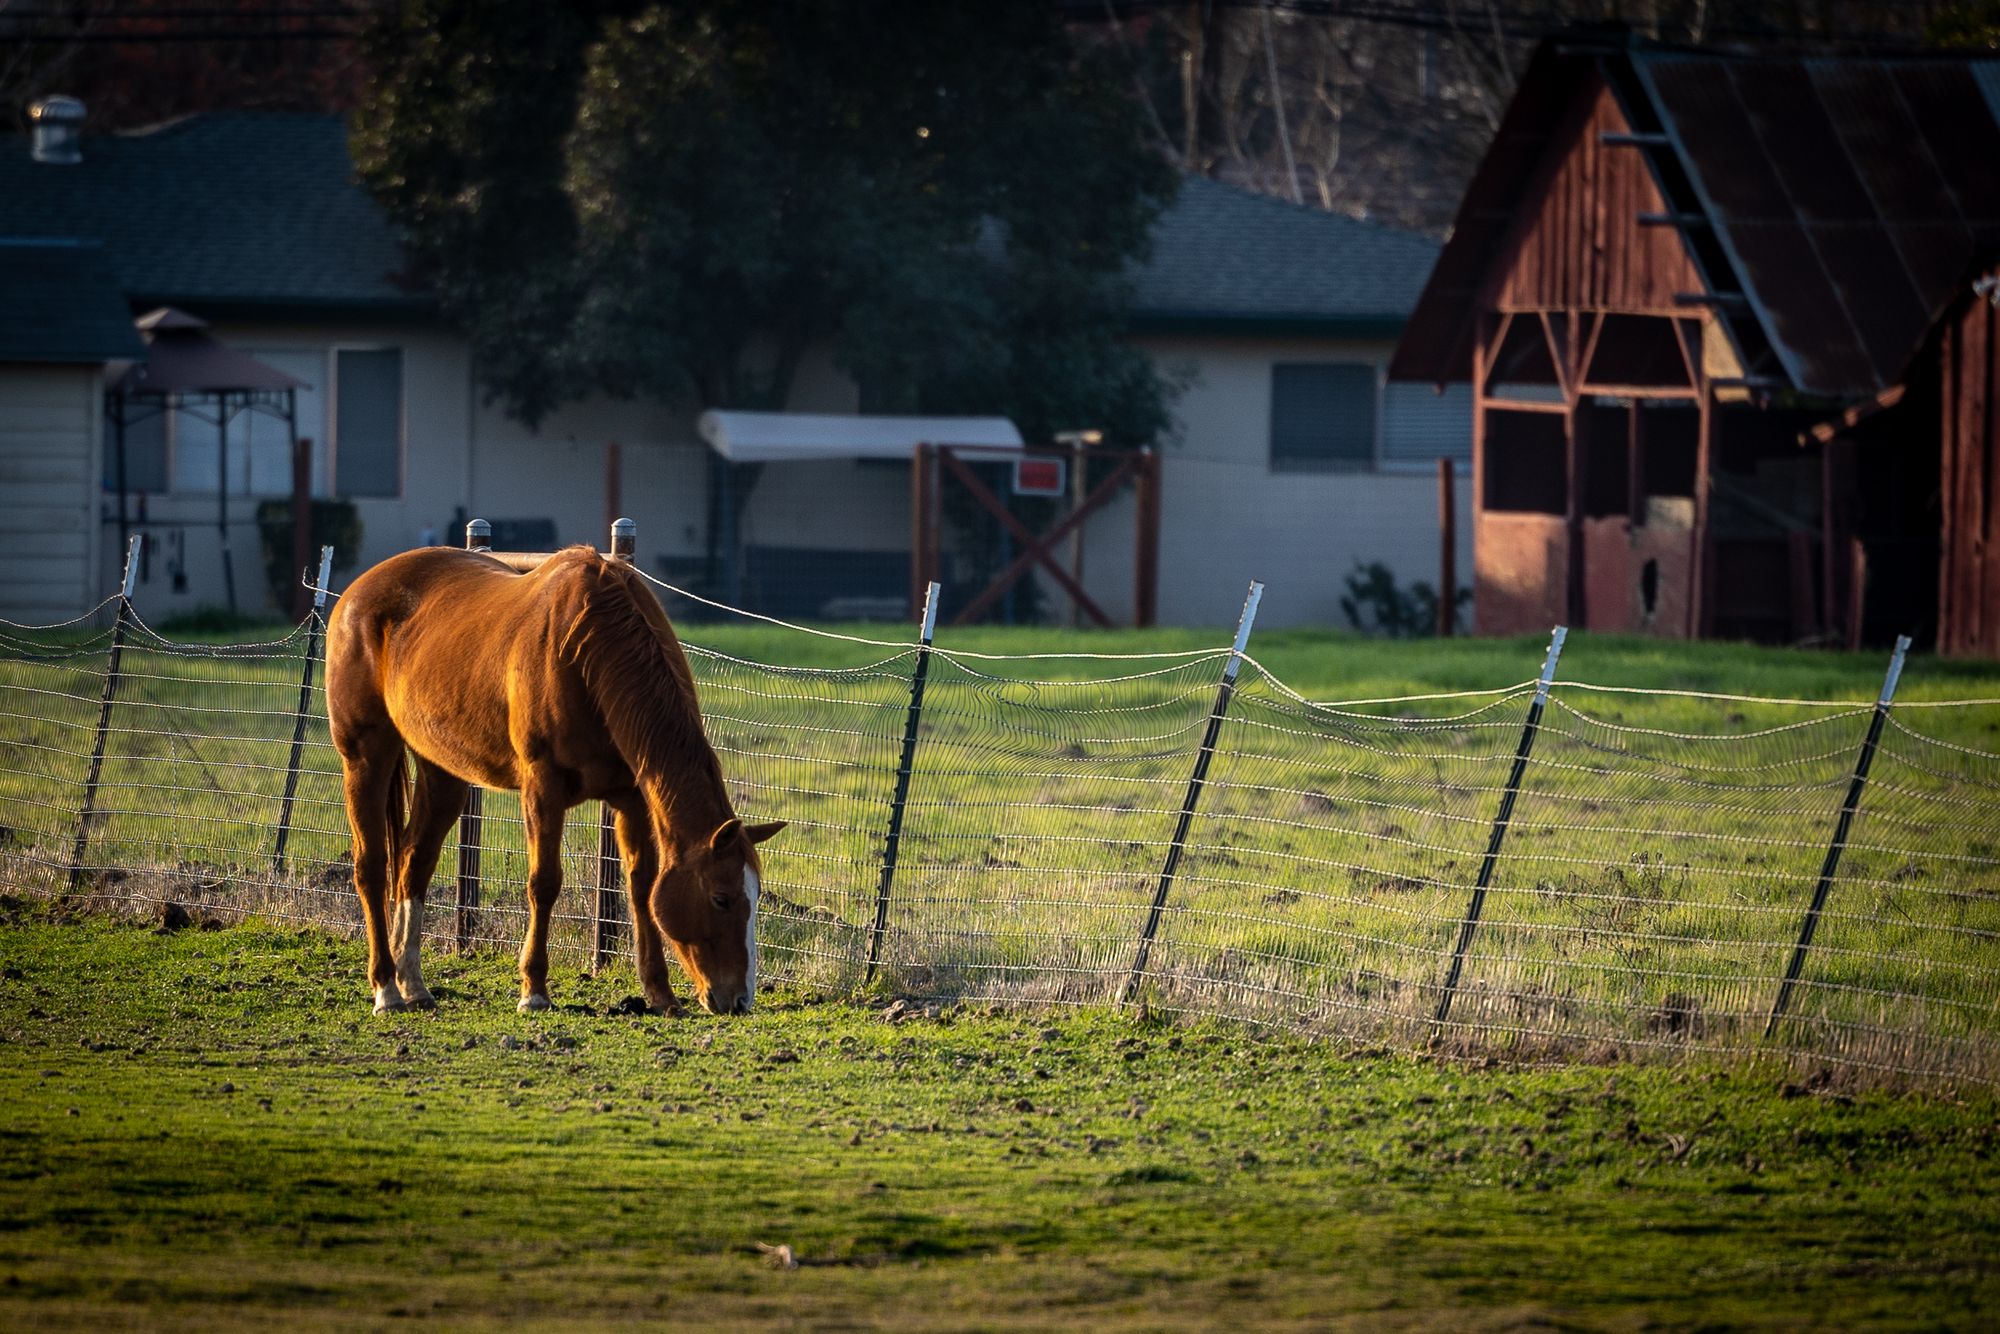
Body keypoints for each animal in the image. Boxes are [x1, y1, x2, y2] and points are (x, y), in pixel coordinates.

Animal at [324, 544, 782, 1017]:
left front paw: (661, 994)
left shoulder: (631, 797)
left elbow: (641, 887)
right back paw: (386, 989)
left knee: (414, 863)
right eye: (721, 898)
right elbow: (544, 882)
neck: (586, 650)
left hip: (442, 772)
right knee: (371, 867)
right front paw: (534, 989)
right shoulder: (543, 787)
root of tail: (357, 592)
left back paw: (412, 983)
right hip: (365, 756)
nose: (739, 999)